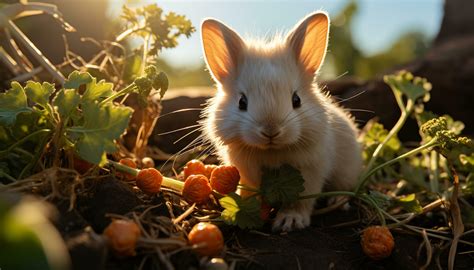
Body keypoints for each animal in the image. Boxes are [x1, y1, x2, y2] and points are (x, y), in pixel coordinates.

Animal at [201, 10, 362, 230]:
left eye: (296, 100)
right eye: (242, 102)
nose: (271, 131)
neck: (272, 151)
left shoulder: (311, 171)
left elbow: (301, 200)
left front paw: (290, 221)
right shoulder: (246, 172)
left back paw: (337, 201)